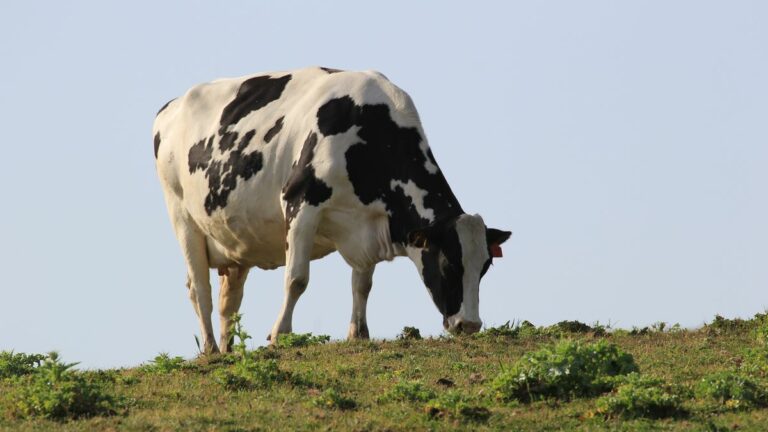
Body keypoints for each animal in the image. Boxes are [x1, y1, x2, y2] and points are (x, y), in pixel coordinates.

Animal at [153, 67, 511, 353]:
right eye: (449, 264)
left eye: (485, 267)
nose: (469, 324)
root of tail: (172, 106)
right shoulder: (300, 202)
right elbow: (296, 278)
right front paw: (280, 335)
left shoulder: (368, 224)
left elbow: (362, 284)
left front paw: (358, 334)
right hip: (181, 214)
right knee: (199, 288)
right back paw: (211, 349)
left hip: (235, 242)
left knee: (230, 300)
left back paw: (227, 350)